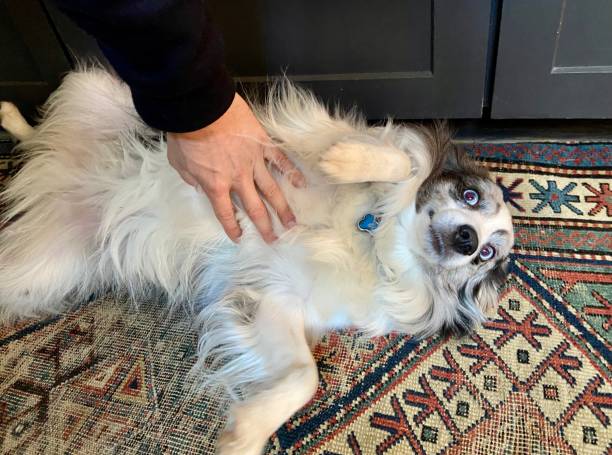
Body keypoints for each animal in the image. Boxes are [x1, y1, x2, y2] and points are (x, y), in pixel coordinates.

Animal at [0, 69, 512, 454]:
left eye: (487, 255)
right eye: (470, 195)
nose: (468, 240)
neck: (371, 237)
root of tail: (57, 174)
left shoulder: (278, 302)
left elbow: (304, 377)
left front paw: (244, 434)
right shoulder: (296, 142)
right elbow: (399, 162)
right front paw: (346, 161)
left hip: (40, 273)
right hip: (99, 87)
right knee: (45, 126)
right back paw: (13, 117)